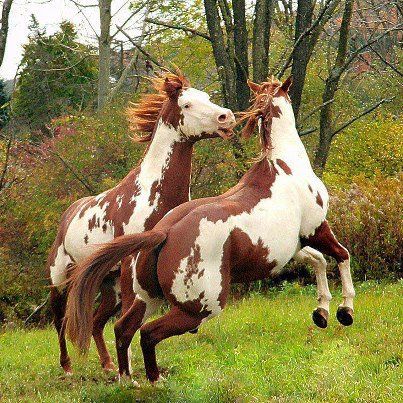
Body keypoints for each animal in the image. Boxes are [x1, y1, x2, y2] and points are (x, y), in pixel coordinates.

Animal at [46, 72, 237, 376]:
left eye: (207, 97)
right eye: (186, 104)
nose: (226, 117)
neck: (152, 192)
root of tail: (67, 216)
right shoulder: (131, 264)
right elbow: (128, 323)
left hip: (108, 285)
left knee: (97, 321)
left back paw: (108, 365)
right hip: (60, 280)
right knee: (60, 321)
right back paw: (67, 367)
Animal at [64, 76, 356, 386]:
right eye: (188, 103)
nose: (226, 117)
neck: (285, 165)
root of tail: (163, 233)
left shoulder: (295, 247)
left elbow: (319, 261)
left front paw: (322, 312)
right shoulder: (317, 229)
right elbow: (341, 255)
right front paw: (344, 311)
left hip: (148, 297)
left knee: (123, 329)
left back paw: (129, 381)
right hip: (200, 307)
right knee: (148, 333)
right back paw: (155, 381)